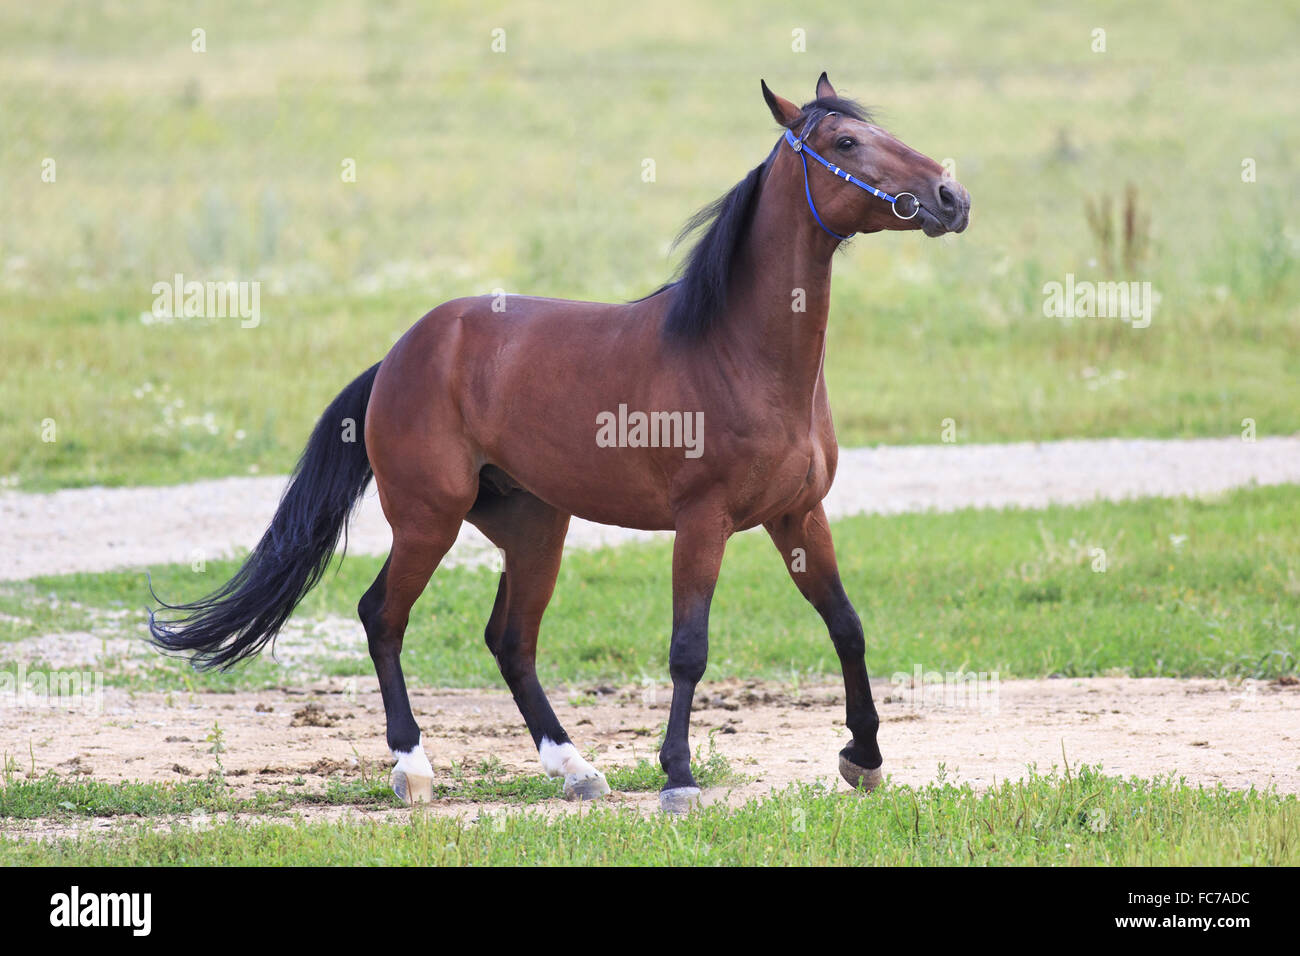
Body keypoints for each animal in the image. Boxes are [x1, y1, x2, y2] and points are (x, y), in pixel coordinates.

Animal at [149, 70, 967, 811]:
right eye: (845, 142)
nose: (951, 198)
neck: (739, 352)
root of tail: (400, 354)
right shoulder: (702, 523)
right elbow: (689, 649)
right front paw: (679, 777)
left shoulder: (798, 515)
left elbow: (847, 627)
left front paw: (864, 757)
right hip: (428, 519)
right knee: (383, 615)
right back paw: (414, 768)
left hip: (535, 526)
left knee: (511, 642)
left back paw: (576, 769)